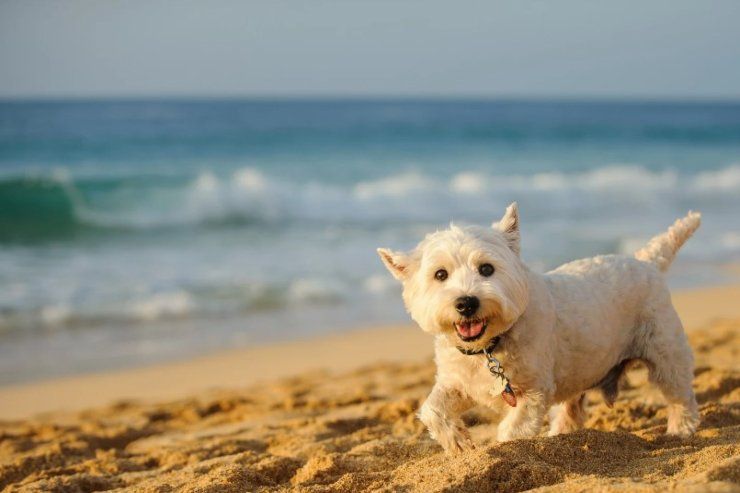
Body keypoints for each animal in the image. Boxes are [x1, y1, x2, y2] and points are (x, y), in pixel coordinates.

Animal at [378, 203, 704, 450]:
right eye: (440, 274)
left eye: (487, 269)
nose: (466, 303)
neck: (489, 347)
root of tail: (647, 262)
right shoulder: (458, 383)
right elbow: (432, 409)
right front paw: (458, 443)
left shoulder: (534, 392)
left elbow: (512, 430)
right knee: (571, 408)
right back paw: (561, 434)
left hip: (665, 351)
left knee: (679, 393)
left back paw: (680, 430)